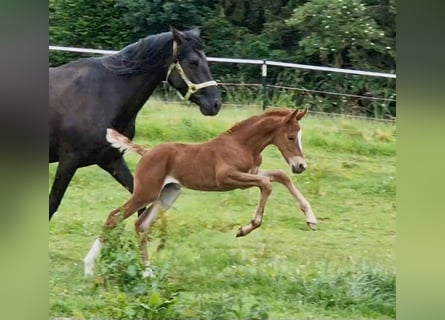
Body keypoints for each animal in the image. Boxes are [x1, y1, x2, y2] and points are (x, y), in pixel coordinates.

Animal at [49, 27, 221, 220]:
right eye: (193, 62)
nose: (215, 103)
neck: (102, 95)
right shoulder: (69, 160)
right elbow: (52, 204)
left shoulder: (111, 159)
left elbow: (140, 202)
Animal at [84, 107, 316, 276]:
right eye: (291, 137)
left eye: (300, 137)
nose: (300, 166)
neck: (242, 144)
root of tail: (147, 152)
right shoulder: (228, 178)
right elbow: (267, 184)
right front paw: (245, 228)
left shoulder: (252, 173)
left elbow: (280, 176)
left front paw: (311, 219)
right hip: (145, 193)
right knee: (114, 217)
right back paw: (89, 267)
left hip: (168, 195)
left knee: (141, 225)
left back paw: (148, 272)